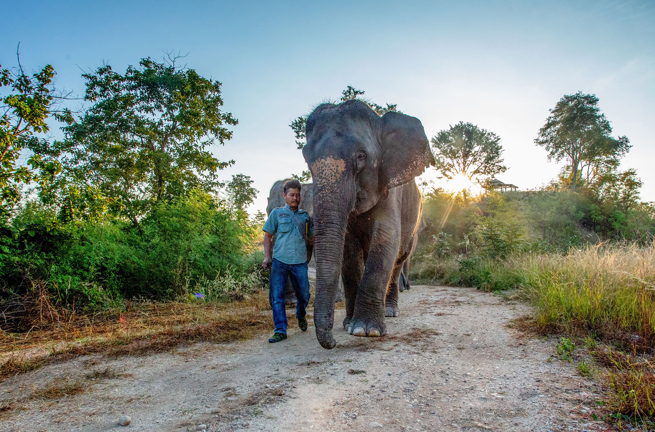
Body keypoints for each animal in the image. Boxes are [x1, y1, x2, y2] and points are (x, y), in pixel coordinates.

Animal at [302, 99, 436, 350]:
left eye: (361, 156)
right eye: (306, 159)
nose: (332, 342)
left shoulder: (389, 188)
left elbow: (386, 239)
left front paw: (366, 331)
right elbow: (348, 251)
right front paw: (348, 325)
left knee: (398, 259)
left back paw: (391, 311)